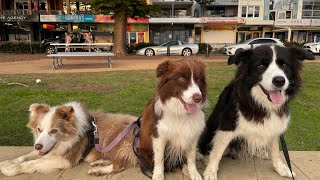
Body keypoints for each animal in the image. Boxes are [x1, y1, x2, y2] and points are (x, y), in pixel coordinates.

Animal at [0, 102, 138, 176]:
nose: (37, 146)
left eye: (54, 131)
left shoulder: (66, 159)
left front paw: (10, 169)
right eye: (39, 129)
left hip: (114, 138)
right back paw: (98, 162)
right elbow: (25, 156)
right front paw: (7, 163)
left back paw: (97, 170)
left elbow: (32, 162)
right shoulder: (45, 148)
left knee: (120, 165)